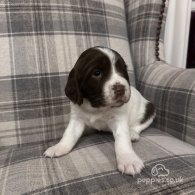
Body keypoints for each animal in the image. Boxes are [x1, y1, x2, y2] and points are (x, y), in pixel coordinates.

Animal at [44, 46, 155, 176]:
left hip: (150, 108)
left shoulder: (119, 119)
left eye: (123, 70)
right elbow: (69, 134)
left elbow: (122, 139)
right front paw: (59, 147)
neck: (96, 106)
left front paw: (129, 160)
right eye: (97, 73)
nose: (121, 89)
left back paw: (132, 133)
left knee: (140, 124)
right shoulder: (77, 118)